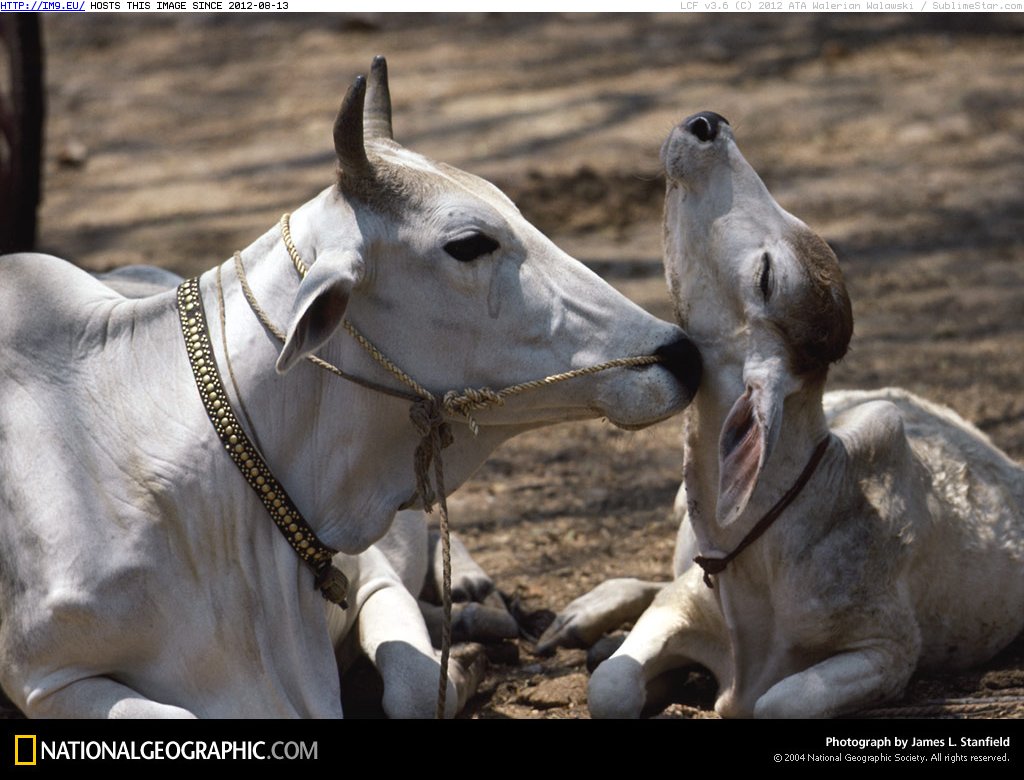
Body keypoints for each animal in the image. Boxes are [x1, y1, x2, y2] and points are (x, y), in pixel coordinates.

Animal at [0, 59, 700, 716]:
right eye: (469, 244)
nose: (683, 356)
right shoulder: (47, 681)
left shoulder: (369, 574)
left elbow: (414, 687)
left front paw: (462, 662)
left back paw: (474, 595)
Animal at [540, 109, 1019, 716]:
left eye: (768, 276)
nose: (708, 123)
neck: (759, 558)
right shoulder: (683, 600)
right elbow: (612, 685)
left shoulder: (889, 649)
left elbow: (777, 703)